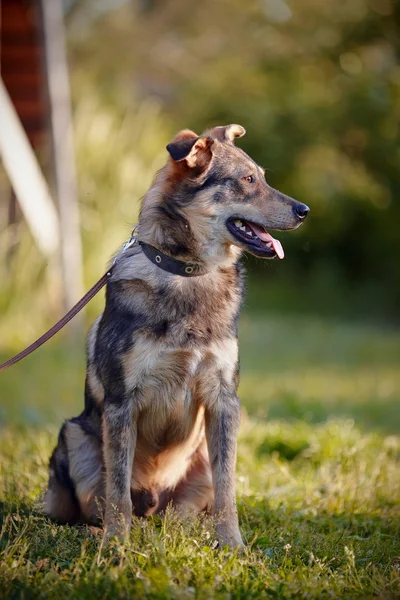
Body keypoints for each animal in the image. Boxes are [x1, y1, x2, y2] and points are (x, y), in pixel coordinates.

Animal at [44, 124, 312, 548]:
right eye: (248, 180)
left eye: (263, 177)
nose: (304, 211)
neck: (187, 273)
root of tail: (153, 504)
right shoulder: (121, 403)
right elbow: (117, 491)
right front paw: (116, 546)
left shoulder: (224, 400)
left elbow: (227, 489)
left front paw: (232, 545)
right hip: (75, 436)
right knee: (89, 507)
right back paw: (97, 531)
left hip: (198, 458)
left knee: (185, 512)